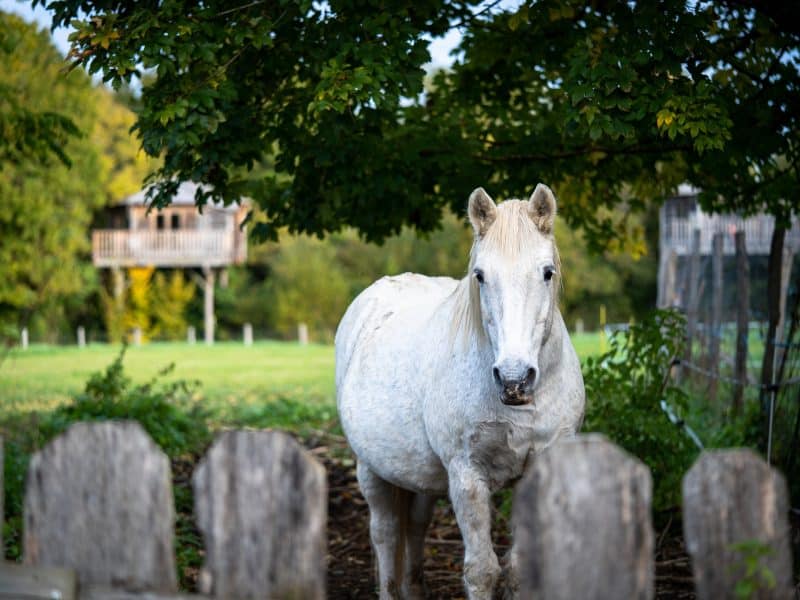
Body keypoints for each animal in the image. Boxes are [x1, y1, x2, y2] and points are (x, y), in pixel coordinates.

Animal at [335, 184, 585, 599]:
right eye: (480, 276)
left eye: (547, 272)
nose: (514, 379)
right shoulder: (466, 474)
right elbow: (481, 571)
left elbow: (518, 570)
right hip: (371, 468)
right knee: (385, 534)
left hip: (420, 475)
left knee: (415, 527)